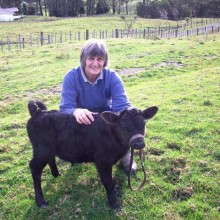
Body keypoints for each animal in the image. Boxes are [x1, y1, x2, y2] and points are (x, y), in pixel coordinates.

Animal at [27, 100, 158, 209]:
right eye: (123, 126)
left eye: (143, 124)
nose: (138, 143)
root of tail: (39, 112)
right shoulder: (102, 161)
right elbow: (108, 182)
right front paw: (114, 204)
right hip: (41, 150)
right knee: (34, 168)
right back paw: (41, 201)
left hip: (48, 150)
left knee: (50, 159)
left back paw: (56, 174)